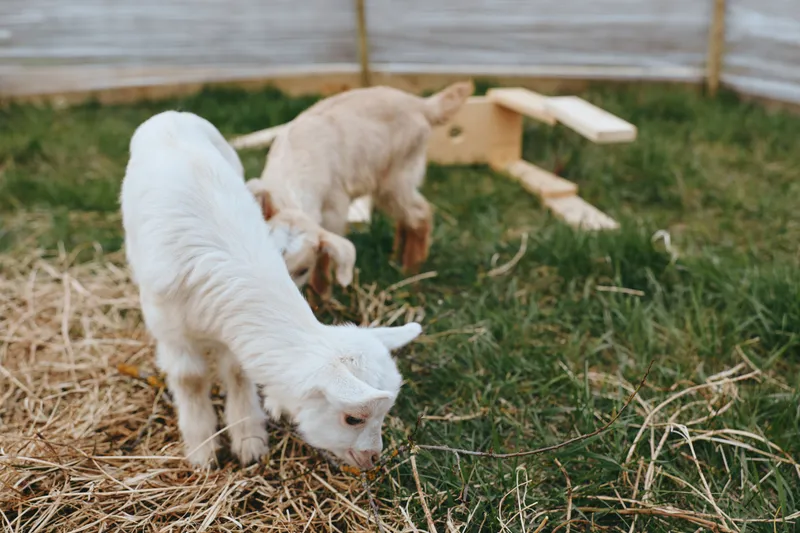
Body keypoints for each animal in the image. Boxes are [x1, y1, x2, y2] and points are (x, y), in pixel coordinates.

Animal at [121, 110, 421, 468]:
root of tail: (170, 115)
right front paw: (203, 451)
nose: (373, 458)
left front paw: (249, 440)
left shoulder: (233, 333)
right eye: (353, 418)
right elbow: (190, 381)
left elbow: (238, 373)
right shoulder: (171, 333)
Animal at [246, 81, 474, 296]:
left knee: (420, 213)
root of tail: (422, 104)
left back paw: (410, 269)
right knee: (406, 216)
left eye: (303, 270)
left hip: (399, 173)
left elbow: (326, 255)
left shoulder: (334, 208)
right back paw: (396, 257)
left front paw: (320, 298)